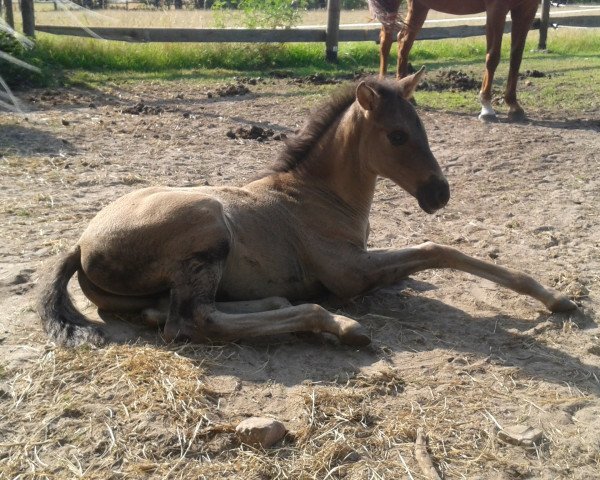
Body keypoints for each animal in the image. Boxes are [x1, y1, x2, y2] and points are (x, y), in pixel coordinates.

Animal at [37, 72, 576, 348]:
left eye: (422, 127)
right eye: (397, 136)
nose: (439, 193)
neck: (318, 195)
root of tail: (80, 244)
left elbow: (425, 261)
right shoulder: (350, 274)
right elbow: (438, 248)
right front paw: (553, 297)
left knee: (168, 310)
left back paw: (277, 302)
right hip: (208, 224)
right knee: (192, 320)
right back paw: (338, 325)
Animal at [370, 0, 540, 122]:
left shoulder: (527, 9)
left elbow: (516, 58)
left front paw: (514, 106)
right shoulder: (497, 8)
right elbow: (493, 56)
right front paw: (486, 107)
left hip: (419, 6)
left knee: (403, 41)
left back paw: (408, 96)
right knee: (386, 40)